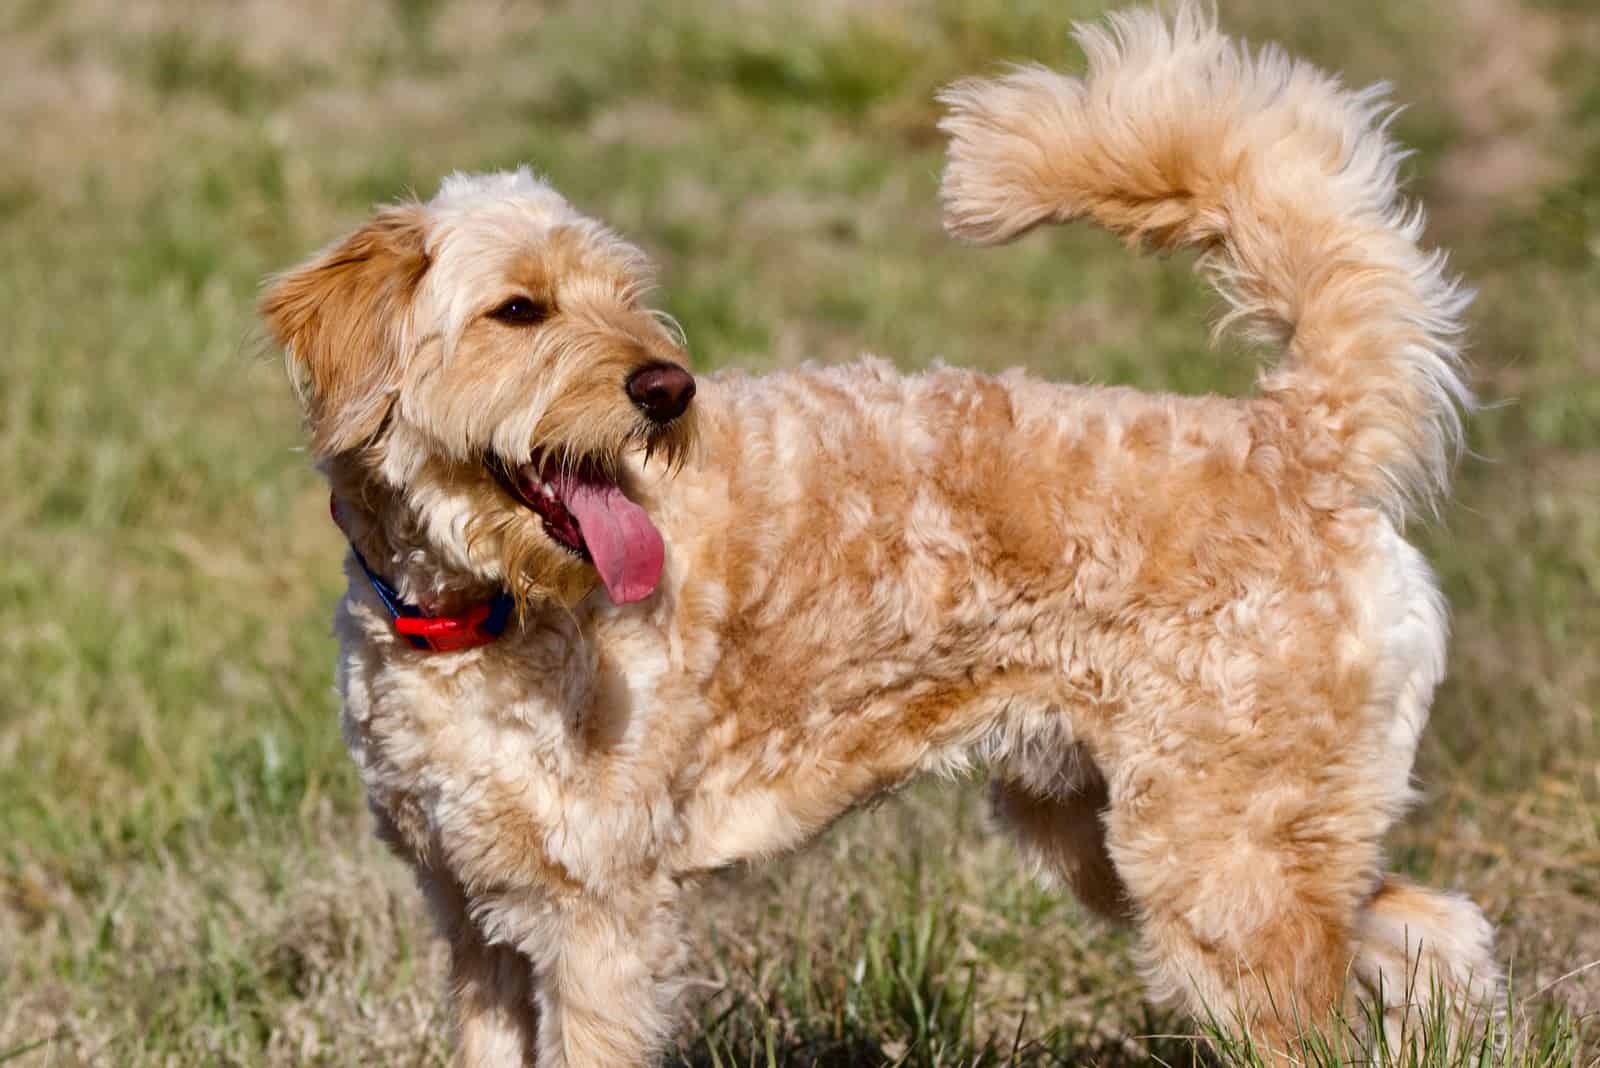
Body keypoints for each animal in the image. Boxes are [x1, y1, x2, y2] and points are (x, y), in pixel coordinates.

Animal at [262, 8, 1497, 1068]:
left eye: (625, 293)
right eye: (517, 310)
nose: (667, 387)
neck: (479, 617)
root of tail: (1298, 440)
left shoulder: (598, 918)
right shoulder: (474, 917)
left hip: (1219, 865)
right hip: (1138, 837)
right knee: (1433, 932)